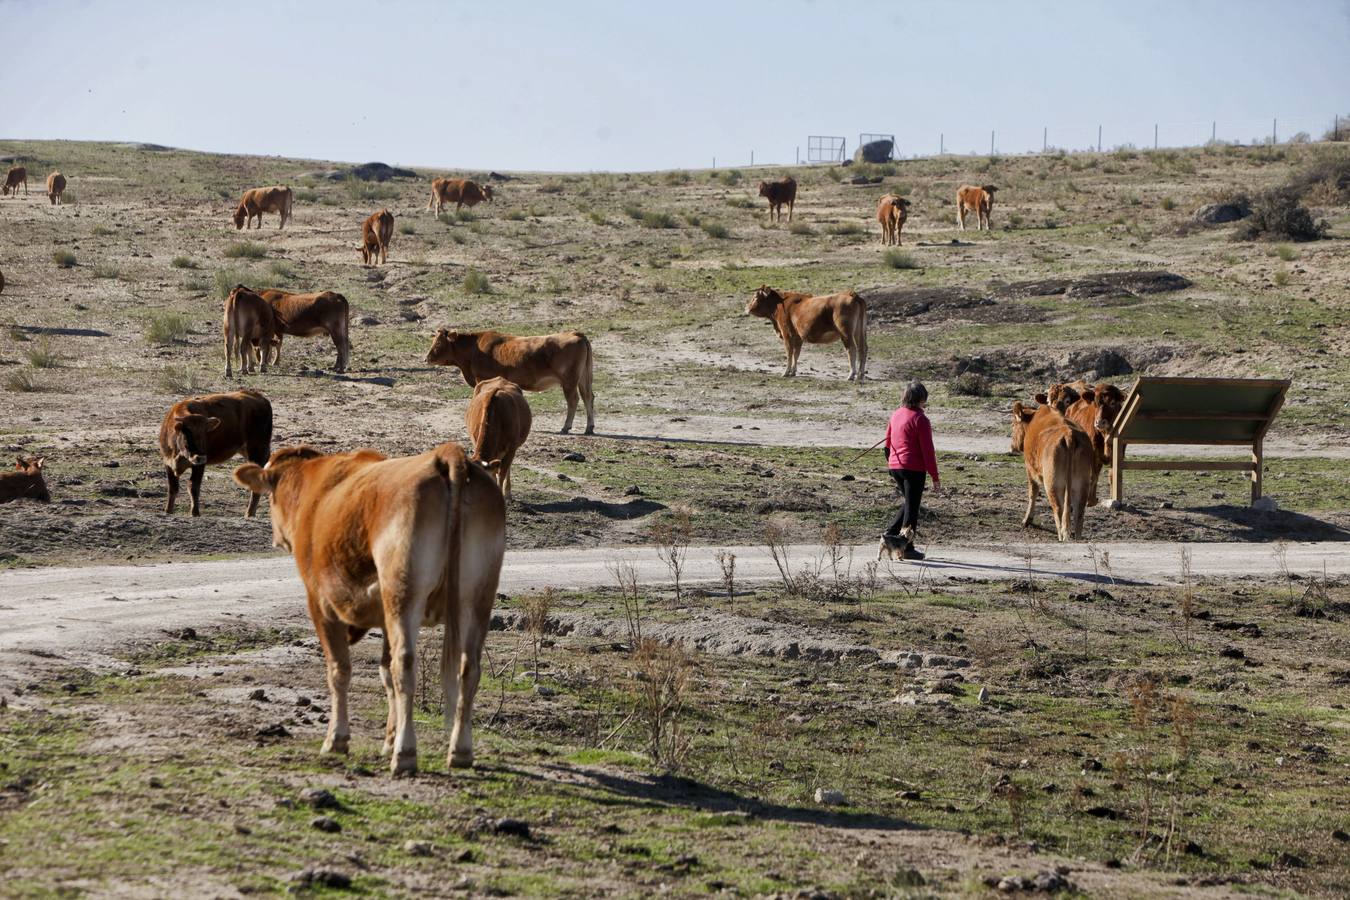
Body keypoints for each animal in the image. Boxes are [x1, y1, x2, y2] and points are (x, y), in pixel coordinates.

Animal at [158, 390, 272, 518]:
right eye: (188, 435)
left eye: (204, 435)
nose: (200, 457)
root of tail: (259, 397)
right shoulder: (168, 463)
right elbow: (172, 488)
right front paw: (168, 510)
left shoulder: (199, 466)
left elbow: (193, 487)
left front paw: (195, 512)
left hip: (258, 450)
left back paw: (249, 513)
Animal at [231, 441, 506, 776]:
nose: (276, 538)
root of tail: (447, 454)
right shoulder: (385, 618)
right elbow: (384, 673)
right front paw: (387, 738)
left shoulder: (321, 604)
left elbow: (339, 671)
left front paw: (337, 739)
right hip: (477, 597)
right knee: (468, 668)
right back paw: (460, 750)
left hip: (403, 593)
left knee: (405, 665)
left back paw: (405, 753)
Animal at [426, 329, 595, 435]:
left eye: (439, 343)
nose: (426, 358)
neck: (474, 349)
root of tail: (576, 334)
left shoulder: (482, 379)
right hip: (583, 378)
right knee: (588, 397)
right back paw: (589, 428)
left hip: (569, 381)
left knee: (573, 400)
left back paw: (566, 427)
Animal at [1010, 400, 1094, 541]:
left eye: (1013, 425)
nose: (1012, 446)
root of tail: (1069, 435)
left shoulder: (1030, 469)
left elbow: (1032, 493)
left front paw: (1026, 520)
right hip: (1082, 484)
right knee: (1079, 512)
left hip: (1053, 484)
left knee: (1059, 510)